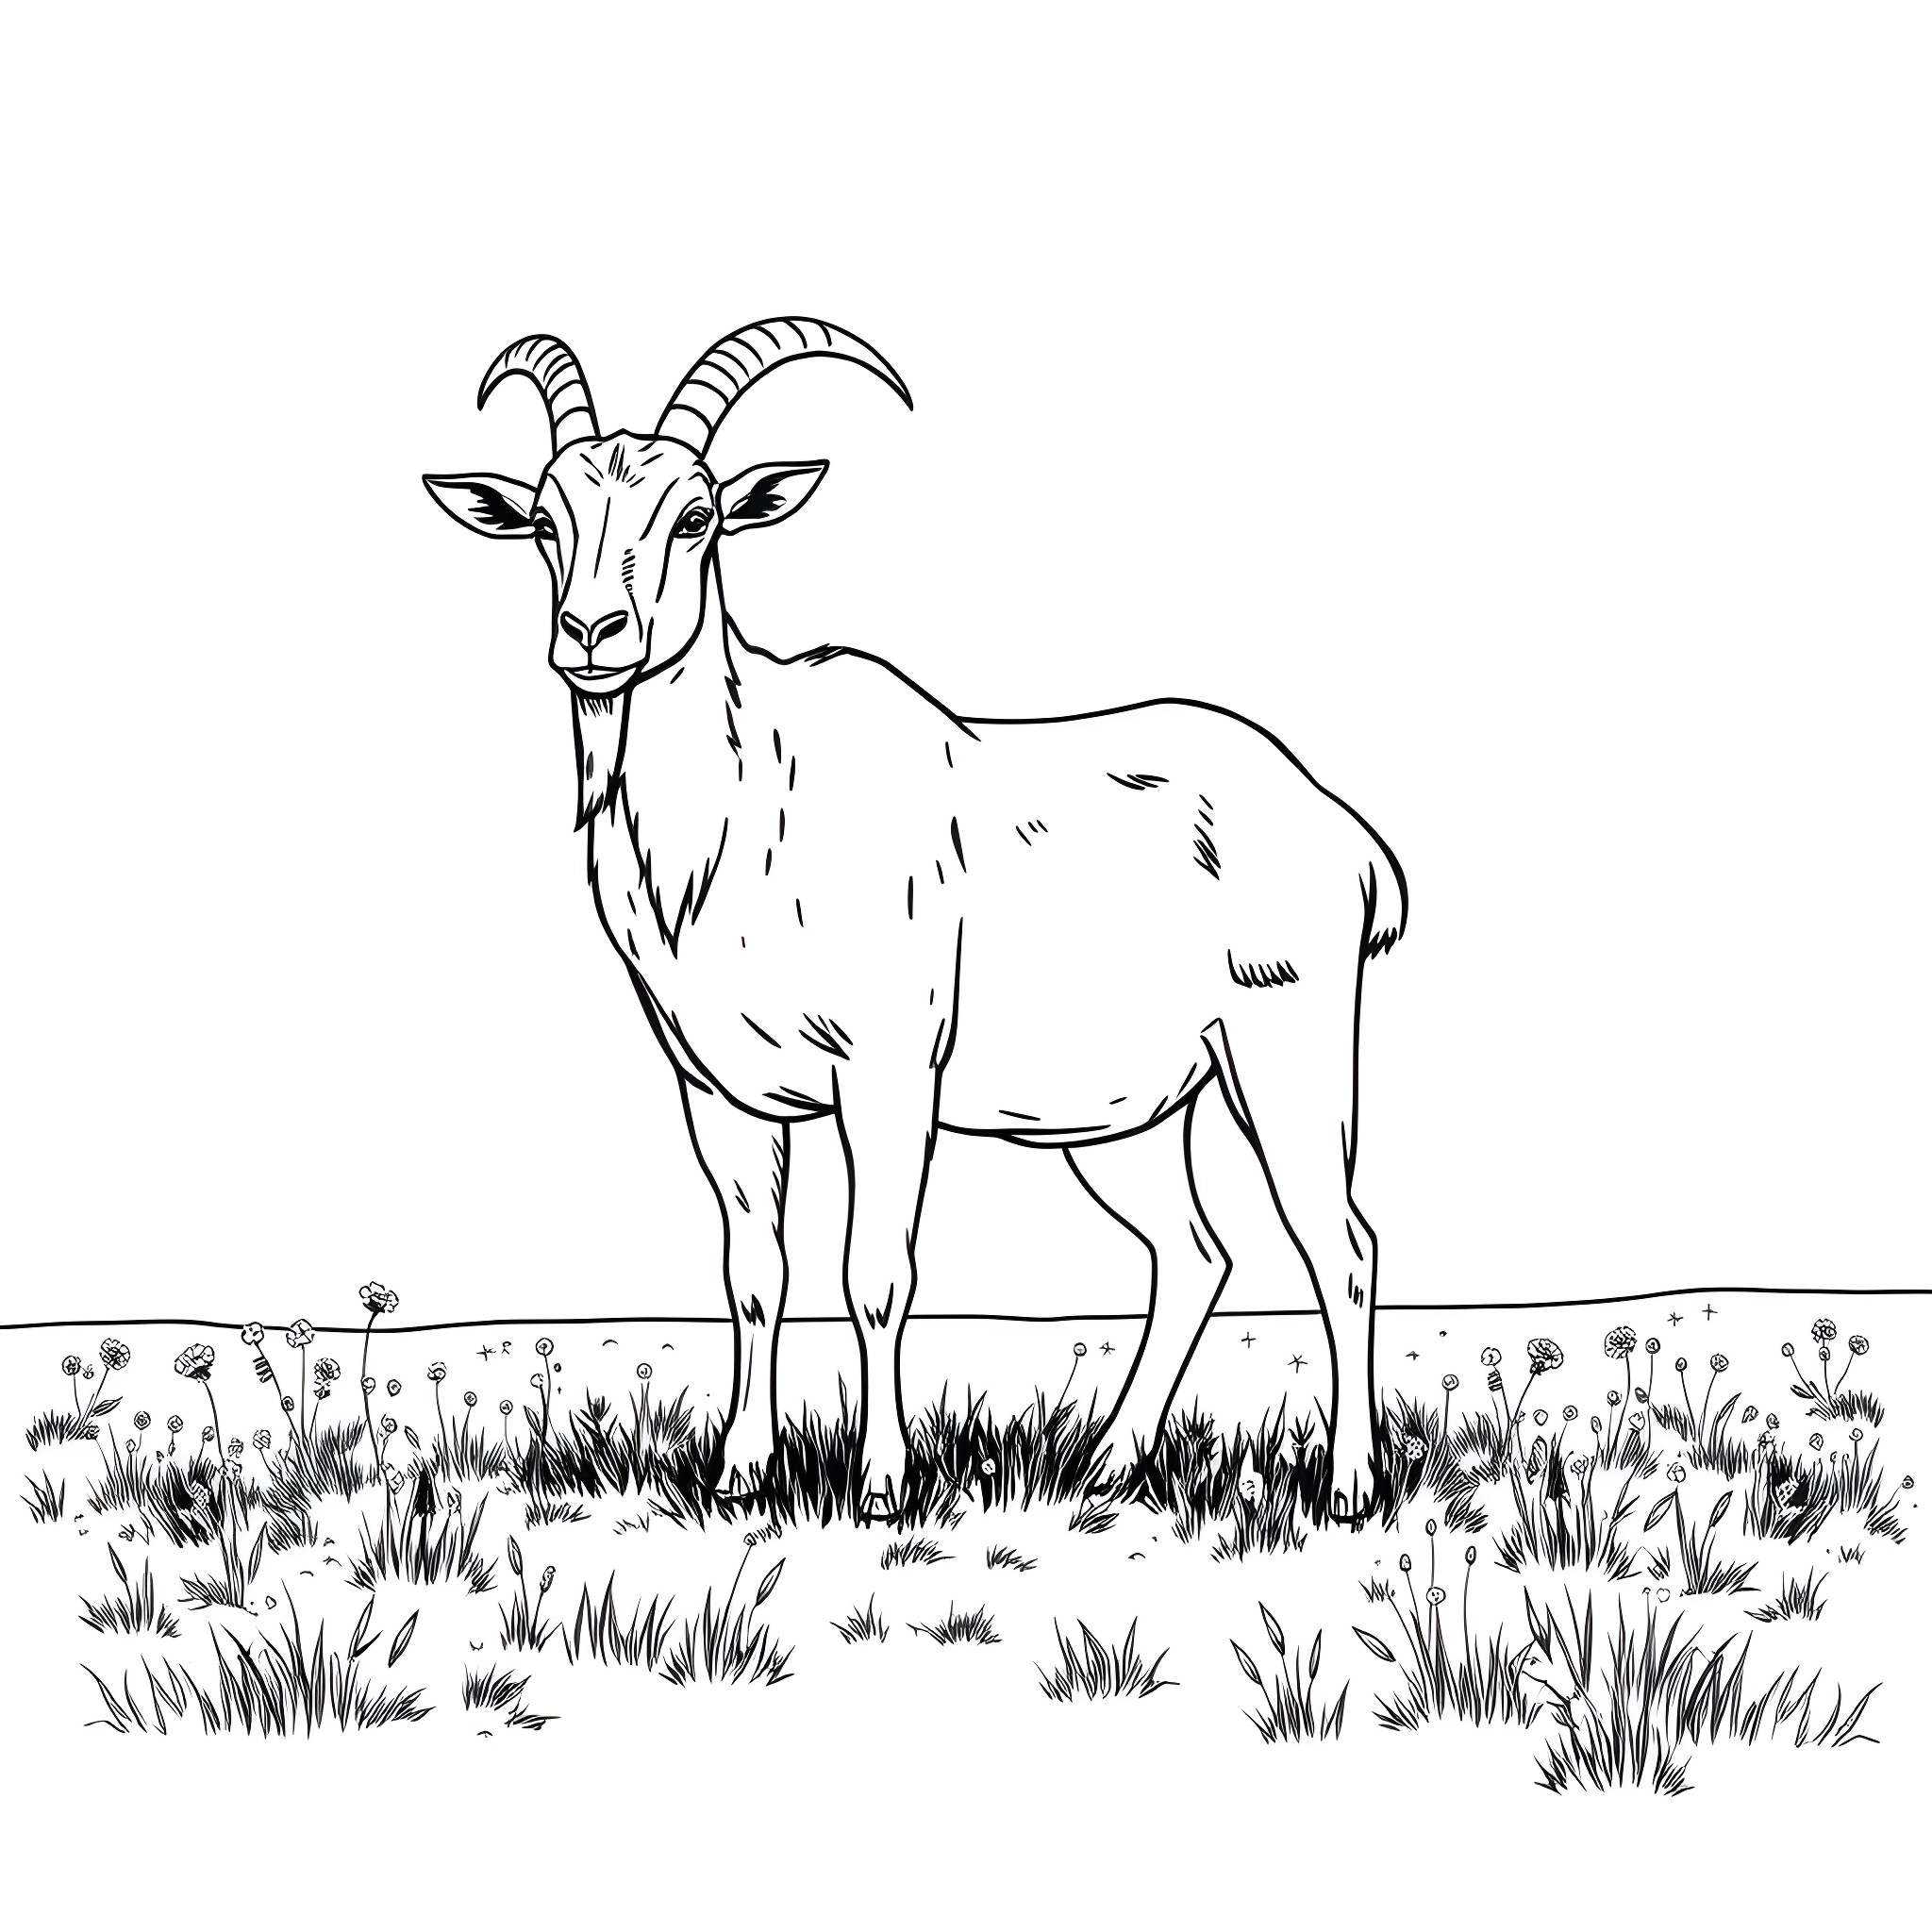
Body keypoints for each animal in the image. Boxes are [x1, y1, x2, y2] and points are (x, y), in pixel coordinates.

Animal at [424, 320, 1406, 1520]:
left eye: (697, 513)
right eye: (544, 518)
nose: (592, 632)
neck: (744, 811)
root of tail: (1347, 837)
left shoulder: (886, 1076)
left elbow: (877, 1273)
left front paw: (882, 1482)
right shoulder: (720, 1096)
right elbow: (753, 1274)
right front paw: (742, 1472)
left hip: (1284, 1055)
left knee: (1340, 1243)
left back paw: (1349, 1484)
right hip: (1126, 1118)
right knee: (1194, 1252)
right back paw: (1107, 1462)